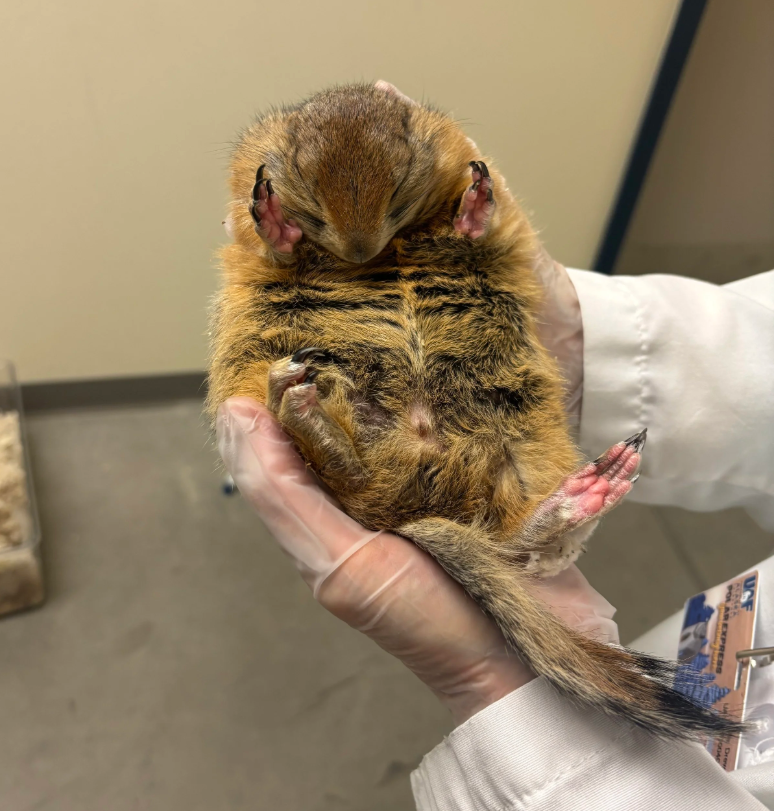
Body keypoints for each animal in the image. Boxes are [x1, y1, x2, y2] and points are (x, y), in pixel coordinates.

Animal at [208, 81, 743, 742]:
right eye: (310, 194)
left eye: (400, 188)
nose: (359, 252)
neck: (390, 245)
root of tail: (414, 512)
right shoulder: (248, 224)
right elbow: (269, 247)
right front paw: (273, 214)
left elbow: (480, 232)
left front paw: (476, 199)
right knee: (352, 476)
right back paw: (305, 408)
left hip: (525, 444)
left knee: (521, 548)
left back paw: (583, 494)